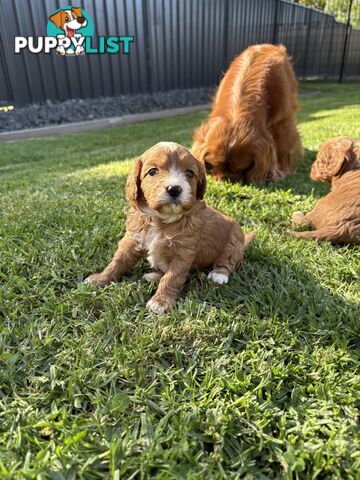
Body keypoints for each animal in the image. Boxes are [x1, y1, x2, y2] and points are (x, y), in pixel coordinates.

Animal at [86, 141, 256, 314]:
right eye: (152, 171)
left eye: (190, 174)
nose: (174, 189)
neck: (161, 219)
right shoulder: (132, 239)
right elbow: (117, 262)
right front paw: (100, 279)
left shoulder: (183, 252)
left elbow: (172, 277)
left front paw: (161, 302)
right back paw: (153, 276)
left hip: (234, 239)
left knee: (227, 260)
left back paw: (219, 274)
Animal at [193, 44, 302, 183]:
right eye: (213, 166)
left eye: (242, 168)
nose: (227, 180)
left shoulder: (283, 119)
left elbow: (284, 145)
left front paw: (284, 169)